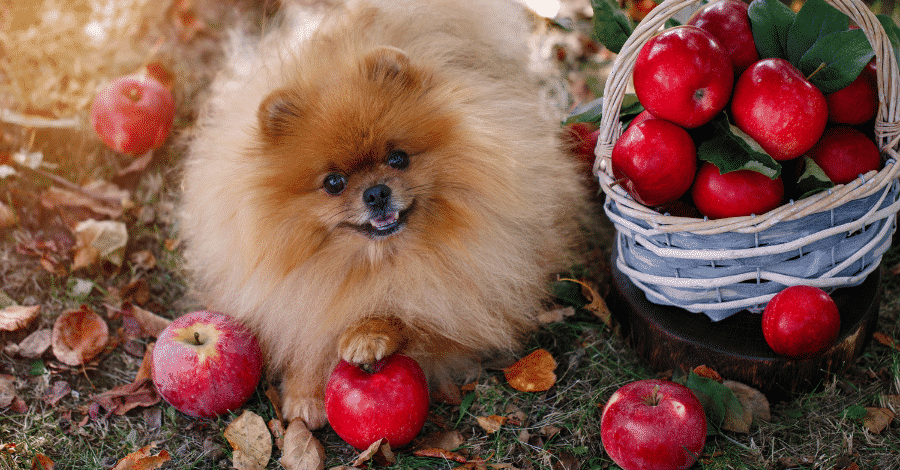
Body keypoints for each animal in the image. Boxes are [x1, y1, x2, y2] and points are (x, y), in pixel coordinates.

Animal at [179, 0, 588, 428]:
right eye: (334, 183)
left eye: (398, 158)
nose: (376, 193)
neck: (376, 262)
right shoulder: (290, 297)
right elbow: (307, 334)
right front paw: (305, 395)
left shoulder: (462, 297)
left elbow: (412, 317)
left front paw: (367, 335)